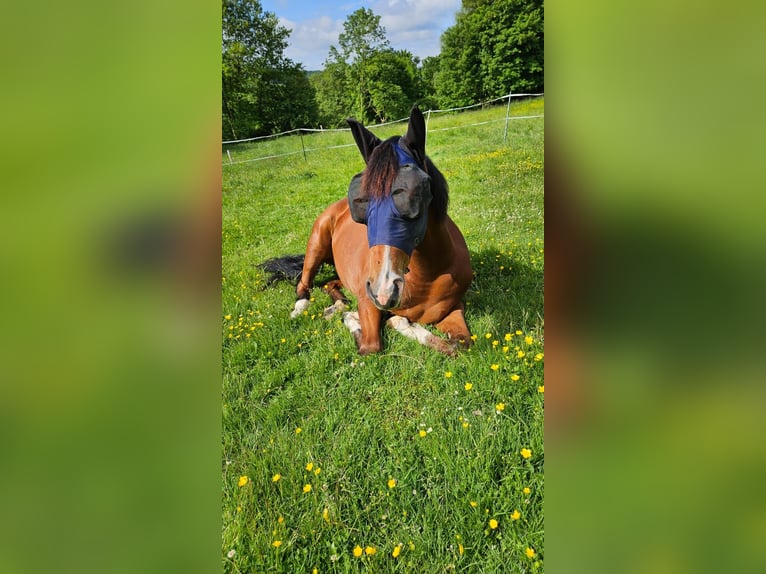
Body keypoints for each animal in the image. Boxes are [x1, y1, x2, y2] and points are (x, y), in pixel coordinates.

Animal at [269, 106, 473, 355]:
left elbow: (460, 344)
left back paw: (338, 305)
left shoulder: (453, 309)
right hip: (316, 245)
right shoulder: (368, 303)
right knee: (304, 282)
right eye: (361, 200)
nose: (383, 291)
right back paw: (302, 308)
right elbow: (371, 344)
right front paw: (355, 319)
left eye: (413, 195)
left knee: (331, 284)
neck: (429, 276)